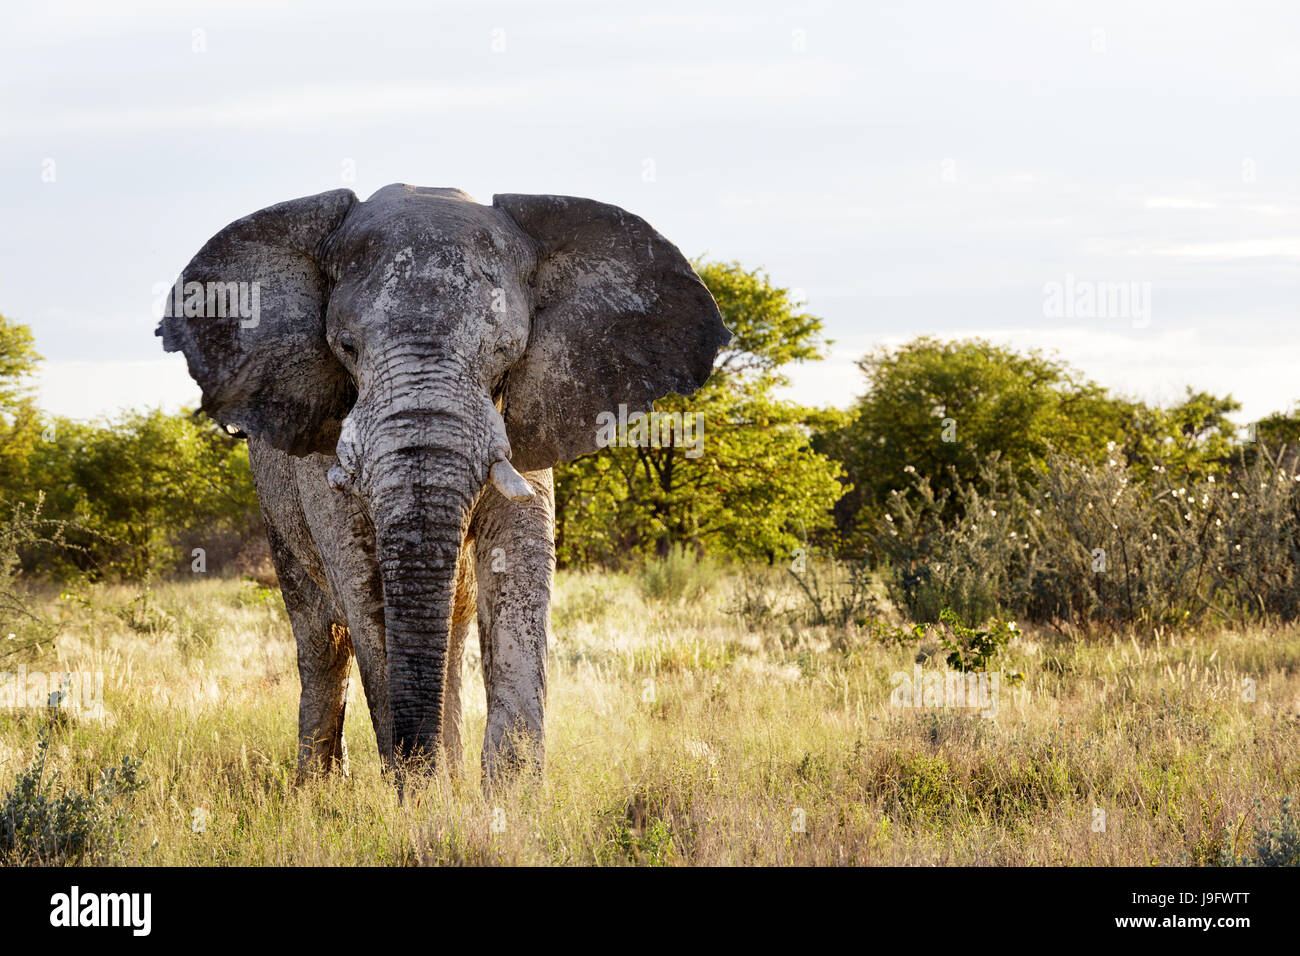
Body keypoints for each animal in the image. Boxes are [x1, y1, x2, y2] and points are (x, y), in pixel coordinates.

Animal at [157, 184, 730, 784]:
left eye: (505, 349)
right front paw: (423, 794)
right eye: (346, 347)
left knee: (447, 630)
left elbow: (521, 563)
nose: (420, 762)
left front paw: (505, 803)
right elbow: (365, 589)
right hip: (272, 504)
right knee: (322, 640)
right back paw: (316, 791)